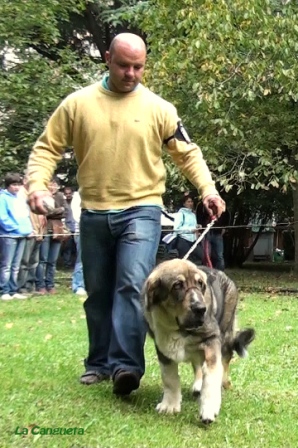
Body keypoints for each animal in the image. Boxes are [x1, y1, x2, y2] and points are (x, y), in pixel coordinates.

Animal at [143, 260, 256, 424]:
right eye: (177, 285)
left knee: (225, 360)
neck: (179, 329)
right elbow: (169, 378)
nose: (201, 308)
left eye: (200, 284)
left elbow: (212, 376)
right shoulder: (162, 348)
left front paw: (209, 408)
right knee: (197, 364)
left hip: (225, 334)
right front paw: (169, 405)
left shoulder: (211, 340)